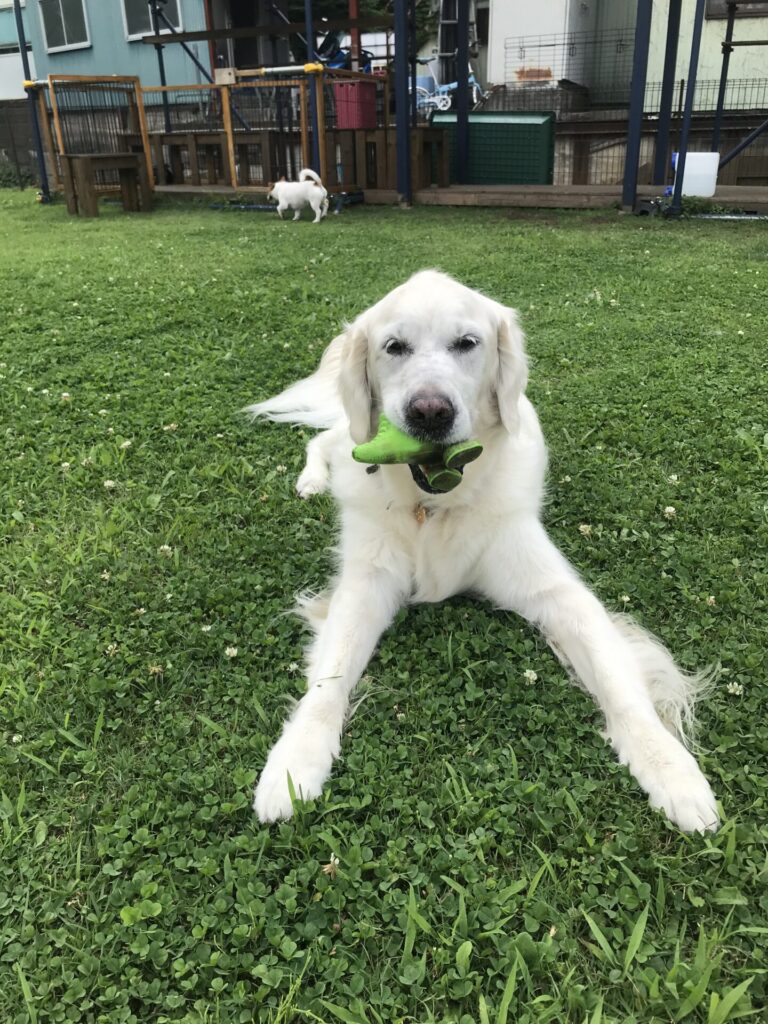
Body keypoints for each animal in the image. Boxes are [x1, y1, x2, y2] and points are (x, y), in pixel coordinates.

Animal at [247, 270, 719, 832]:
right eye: (394, 347)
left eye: (467, 343)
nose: (430, 413)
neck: (436, 505)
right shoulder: (365, 583)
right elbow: (329, 678)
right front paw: (296, 759)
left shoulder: (557, 590)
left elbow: (619, 684)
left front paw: (670, 767)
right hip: (351, 437)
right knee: (326, 440)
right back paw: (312, 479)